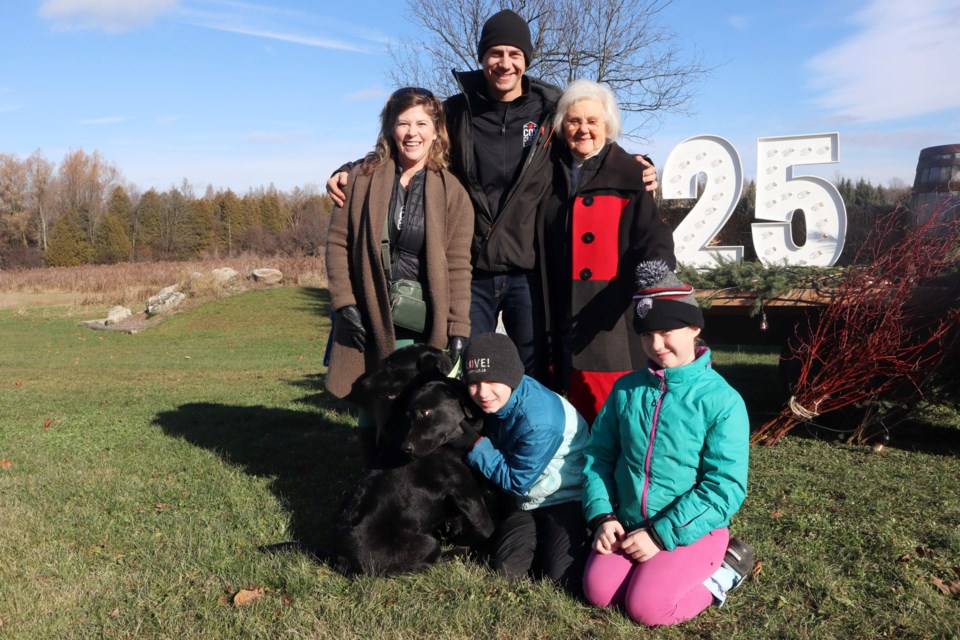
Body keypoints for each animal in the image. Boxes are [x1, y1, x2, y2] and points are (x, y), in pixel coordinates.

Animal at [330, 372, 496, 576]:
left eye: (425, 413)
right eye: (408, 416)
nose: (405, 448)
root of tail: (341, 557)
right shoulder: (465, 486)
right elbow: (486, 524)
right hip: (426, 542)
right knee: (431, 561)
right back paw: (462, 551)